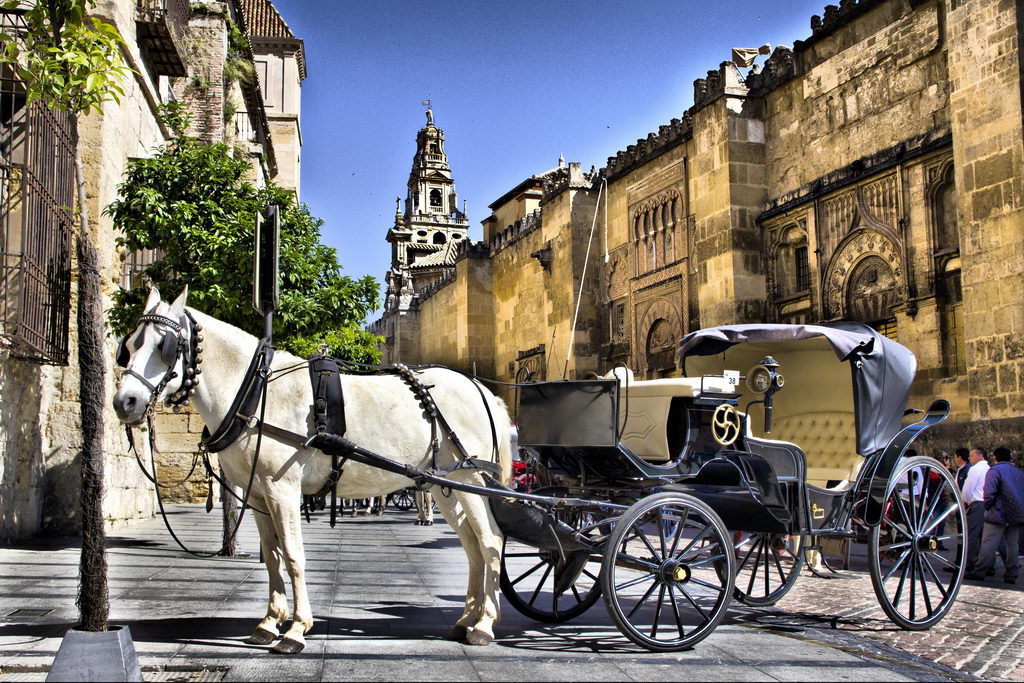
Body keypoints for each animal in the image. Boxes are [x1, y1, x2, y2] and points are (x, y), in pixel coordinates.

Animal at [113, 286, 512, 651]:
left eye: (165, 346)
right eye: (129, 346)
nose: (124, 402)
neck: (255, 391)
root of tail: (482, 390)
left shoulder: (282, 488)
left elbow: (293, 555)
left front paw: (295, 630)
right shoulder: (257, 494)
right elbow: (272, 558)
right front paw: (269, 623)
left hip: (469, 478)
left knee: (491, 542)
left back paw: (484, 625)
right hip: (446, 486)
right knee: (472, 546)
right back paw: (466, 619)